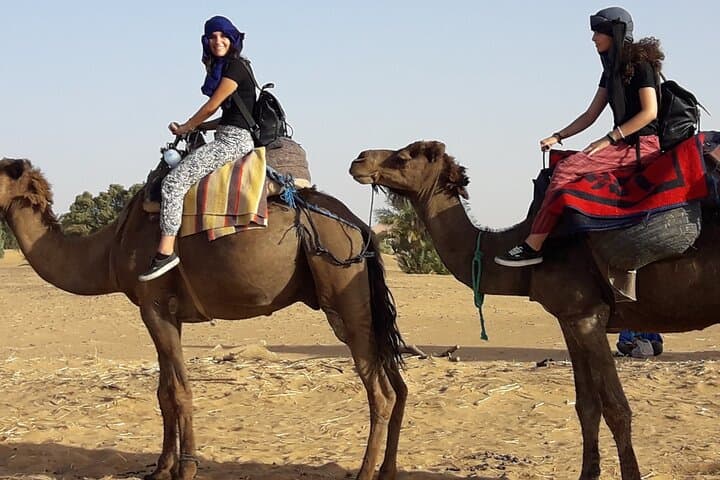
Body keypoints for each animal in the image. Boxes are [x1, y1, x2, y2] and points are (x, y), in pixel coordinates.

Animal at [0, 157, 407, 480]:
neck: (110, 248)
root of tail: (359, 226)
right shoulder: (166, 311)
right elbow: (164, 391)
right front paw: (161, 468)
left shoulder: (154, 305)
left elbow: (179, 391)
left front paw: (186, 467)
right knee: (396, 382)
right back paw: (386, 470)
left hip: (342, 289)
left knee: (381, 391)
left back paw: (365, 472)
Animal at [349, 140, 720, 480]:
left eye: (404, 156)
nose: (359, 160)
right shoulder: (571, 318)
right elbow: (587, 406)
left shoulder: (588, 316)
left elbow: (617, 409)